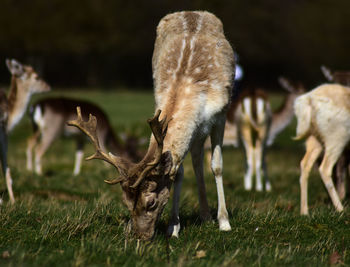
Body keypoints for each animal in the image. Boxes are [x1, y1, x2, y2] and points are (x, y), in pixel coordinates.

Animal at [0, 59, 51, 204]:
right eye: (36, 76)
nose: (49, 86)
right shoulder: (3, 133)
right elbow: (6, 168)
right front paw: (11, 201)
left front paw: (11, 200)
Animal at [67, 11, 235, 241]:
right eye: (126, 201)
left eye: (151, 202)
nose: (140, 236)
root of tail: (193, 12)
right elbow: (178, 172)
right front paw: (173, 227)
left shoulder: (221, 115)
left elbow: (217, 166)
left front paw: (224, 222)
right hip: (197, 132)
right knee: (196, 157)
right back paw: (205, 215)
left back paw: (211, 217)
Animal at [294, 84, 350, 216]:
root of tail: (309, 99)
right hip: (337, 140)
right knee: (325, 169)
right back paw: (341, 209)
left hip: (315, 140)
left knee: (305, 165)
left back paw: (304, 212)